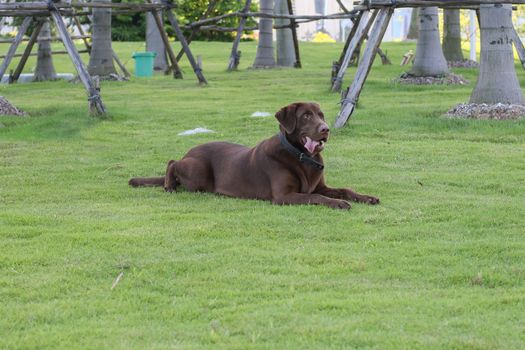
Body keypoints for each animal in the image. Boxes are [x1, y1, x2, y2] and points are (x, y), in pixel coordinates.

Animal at [129, 102, 378, 209]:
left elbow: (344, 189)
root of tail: (189, 150)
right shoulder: (284, 196)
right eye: (307, 116)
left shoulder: (320, 186)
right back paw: (169, 185)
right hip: (198, 173)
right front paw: (340, 203)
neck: (300, 156)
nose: (326, 129)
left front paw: (366, 197)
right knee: (172, 162)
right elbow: (317, 197)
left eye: (321, 115)